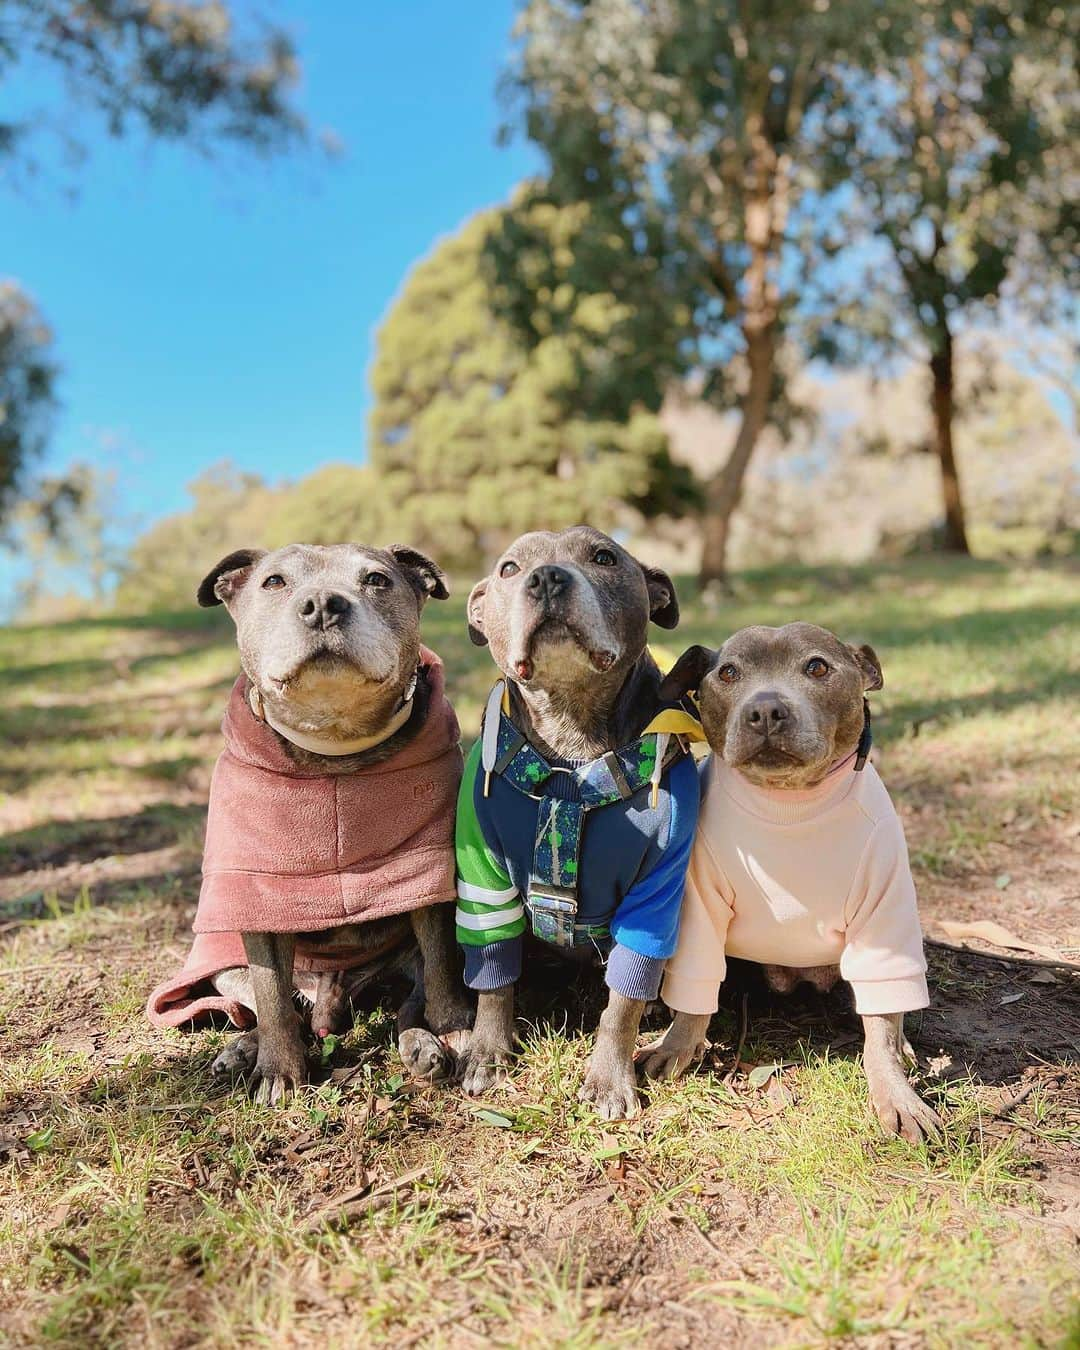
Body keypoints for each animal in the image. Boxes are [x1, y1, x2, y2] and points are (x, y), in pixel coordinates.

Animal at [145, 542, 469, 1101]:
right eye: (274, 581)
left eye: (377, 579)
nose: (322, 605)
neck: (334, 746)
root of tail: (333, 999)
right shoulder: (256, 892)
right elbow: (272, 997)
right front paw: (279, 1070)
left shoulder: (430, 879)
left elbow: (443, 968)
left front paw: (450, 1030)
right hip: (224, 965)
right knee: (270, 1007)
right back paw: (243, 1049)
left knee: (410, 1003)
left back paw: (422, 1045)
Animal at [450, 523, 702, 1117]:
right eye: (509, 568)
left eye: (604, 557)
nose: (546, 578)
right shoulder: (483, 878)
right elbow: (493, 976)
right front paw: (488, 1051)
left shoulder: (657, 891)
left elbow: (621, 1006)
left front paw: (610, 1079)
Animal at [637, 621, 939, 1139]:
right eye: (728, 673)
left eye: (817, 667)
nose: (764, 710)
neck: (789, 803)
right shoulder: (698, 906)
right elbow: (693, 997)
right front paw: (676, 1046)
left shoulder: (884, 914)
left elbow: (880, 1028)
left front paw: (896, 1093)